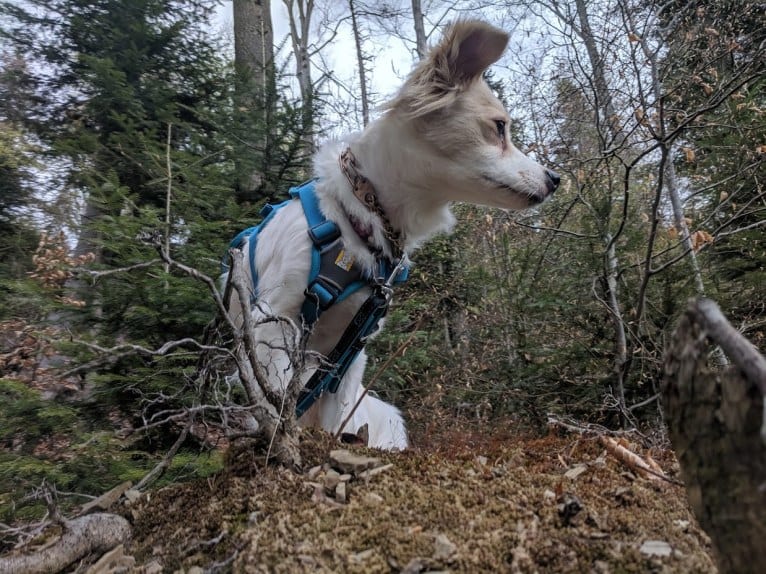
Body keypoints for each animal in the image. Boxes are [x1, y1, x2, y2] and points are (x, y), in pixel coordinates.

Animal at [226, 18, 560, 452]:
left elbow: (331, 410)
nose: (555, 179)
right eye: (499, 127)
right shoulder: (273, 321)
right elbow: (275, 400)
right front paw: (279, 443)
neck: (361, 215)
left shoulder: (351, 349)